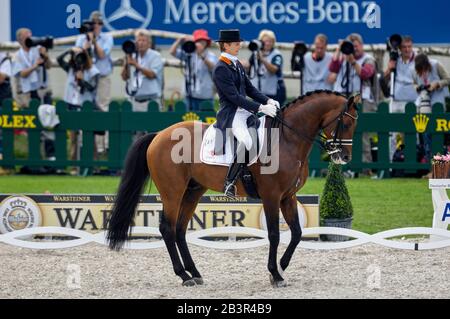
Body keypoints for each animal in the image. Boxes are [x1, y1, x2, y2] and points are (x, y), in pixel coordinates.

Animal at [106, 91, 358, 288]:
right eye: (346, 124)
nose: (344, 157)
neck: (287, 139)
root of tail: (159, 135)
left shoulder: (288, 196)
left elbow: (296, 232)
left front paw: (281, 267)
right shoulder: (271, 196)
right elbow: (274, 234)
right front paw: (275, 274)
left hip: (193, 191)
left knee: (179, 229)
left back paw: (195, 273)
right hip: (172, 192)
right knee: (167, 228)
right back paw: (184, 276)